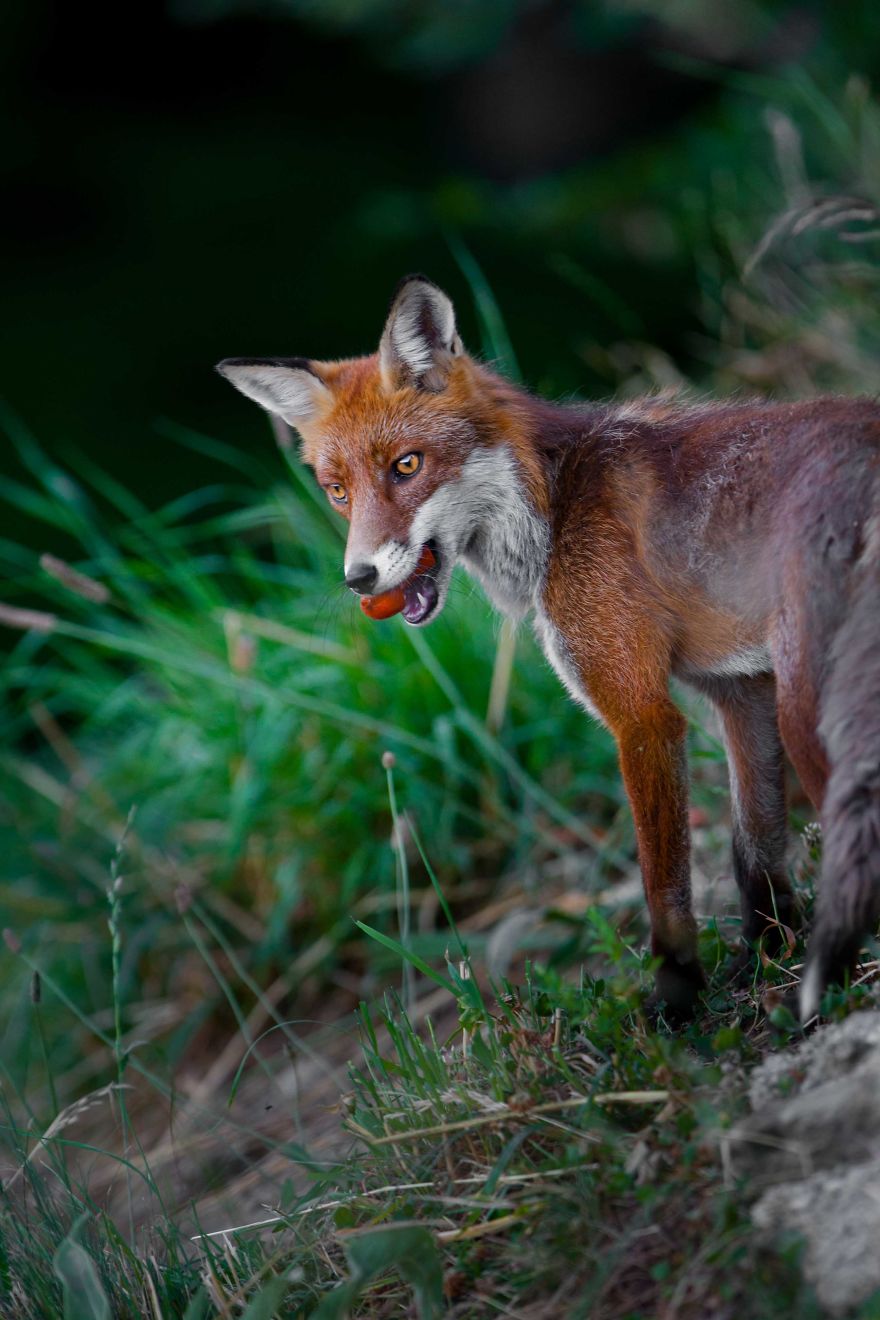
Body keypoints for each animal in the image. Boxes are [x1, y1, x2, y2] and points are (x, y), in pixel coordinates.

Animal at [217, 274, 880, 1023]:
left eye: (406, 465)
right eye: (337, 492)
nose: (358, 578)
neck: (553, 504)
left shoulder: (643, 716)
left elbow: (664, 888)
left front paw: (676, 1005)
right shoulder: (738, 690)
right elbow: (755, 853)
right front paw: (763, 956)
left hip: (808, 707)